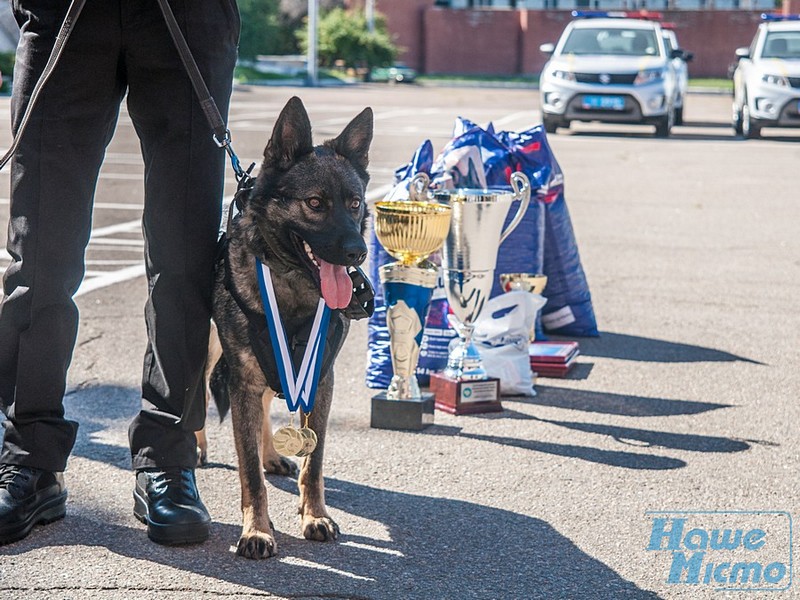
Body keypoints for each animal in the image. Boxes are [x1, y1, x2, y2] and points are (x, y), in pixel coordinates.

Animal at [209, 96, 376, 560]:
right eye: (315, 203)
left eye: (354, 203)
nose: (358, 252)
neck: (294, 289)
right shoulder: (243, 379)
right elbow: (249, 474)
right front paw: (256, 530)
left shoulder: (319, 378)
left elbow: (313, 464)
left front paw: (314, 515)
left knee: (265, 411)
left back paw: (271, 454)